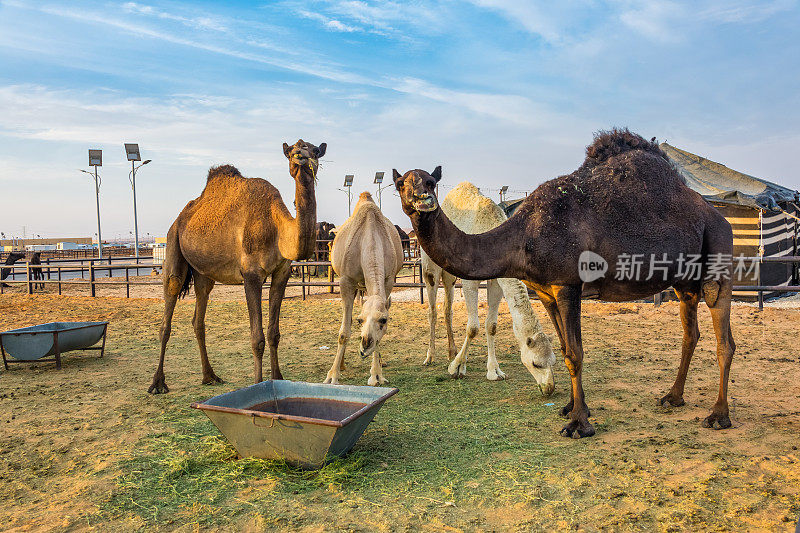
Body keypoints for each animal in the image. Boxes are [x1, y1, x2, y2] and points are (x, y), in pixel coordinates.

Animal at [148, 139, 326, 392]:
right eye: (292, 150)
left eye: (315, 150)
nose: (302, 157)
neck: (277, 227)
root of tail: (181, 217)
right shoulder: (251, 274)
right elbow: (257, 338)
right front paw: (259, 385)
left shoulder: (282, 272)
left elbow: (273, 333)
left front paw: (279, 378)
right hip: (173, 243)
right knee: (169, 304)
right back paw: (158, 383)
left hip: (204, 272)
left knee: (199, 316)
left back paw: (210, 376)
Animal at [324, 193, 404, 384]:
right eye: (361, 321)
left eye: (384, 320)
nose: (365, 345)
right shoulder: (346, 281)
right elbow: (344, 331)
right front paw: (332, 375)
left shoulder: (388, 280)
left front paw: (376, 374)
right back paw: (341, 365)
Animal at [418, 182, 556, 390]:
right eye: (536, 363)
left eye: (554, 361)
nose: (549, 388)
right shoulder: (469, 280)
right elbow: (473, 327)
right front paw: (457, 368)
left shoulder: (496, 281)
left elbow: (491, 326)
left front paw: (494, 371)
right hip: (429, 267)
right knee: (432, 308)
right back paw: (430, 357)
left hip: (450, 276)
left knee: (447, 308)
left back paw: (452, 352)